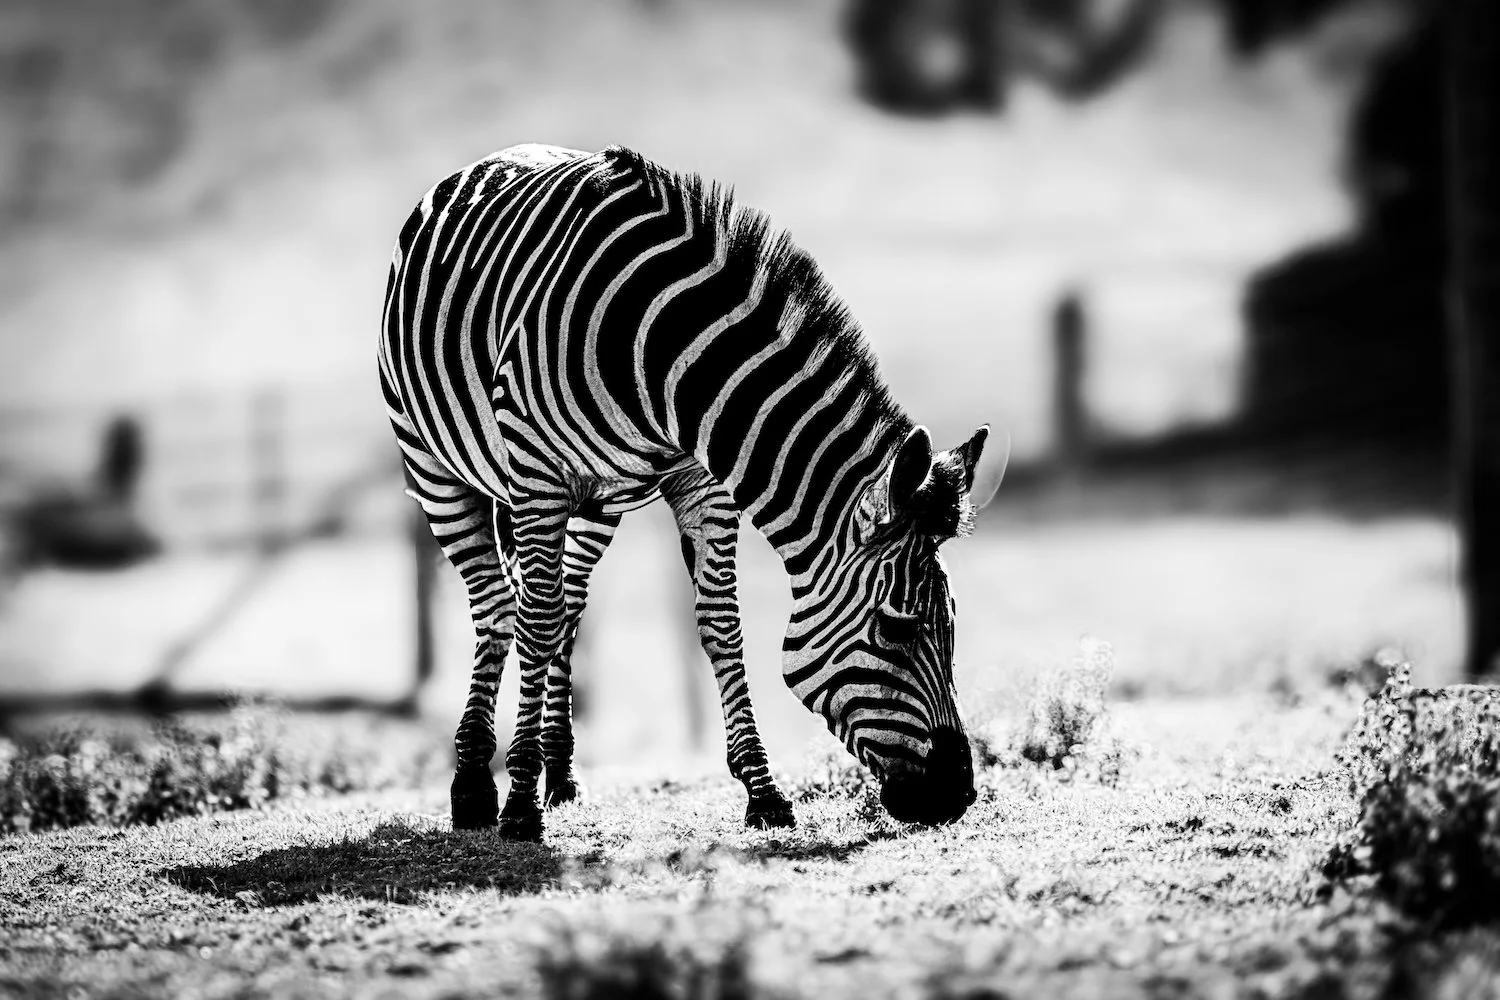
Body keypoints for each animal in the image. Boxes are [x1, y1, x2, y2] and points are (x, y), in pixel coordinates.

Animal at [380, 143, 1008, 840]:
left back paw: (560, 774)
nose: (958, 795)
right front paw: (518, 807)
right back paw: (473, 785)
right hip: (433, 465)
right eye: (897, 629)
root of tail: (499, 156)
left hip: (598, 502)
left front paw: (763, 792)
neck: (656, 354)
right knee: (498, 606)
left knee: (567, 603)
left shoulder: (704, 484)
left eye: (952, 622)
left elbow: (720, 626)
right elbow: (534, 625)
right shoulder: (539, 477)